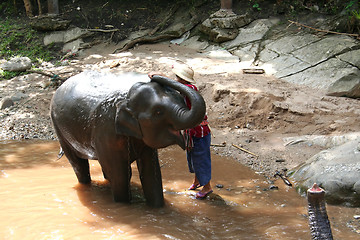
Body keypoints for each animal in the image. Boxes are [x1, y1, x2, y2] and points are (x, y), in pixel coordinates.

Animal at [51, 70, 207, 207]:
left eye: (182, 99)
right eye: (158, 112)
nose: (153, 76)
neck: (127, 98)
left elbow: (151, 172)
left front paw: (157, 208)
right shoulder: (106, 130)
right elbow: (120, 175)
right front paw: (124, 206)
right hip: (60, 130)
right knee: (79, 165)